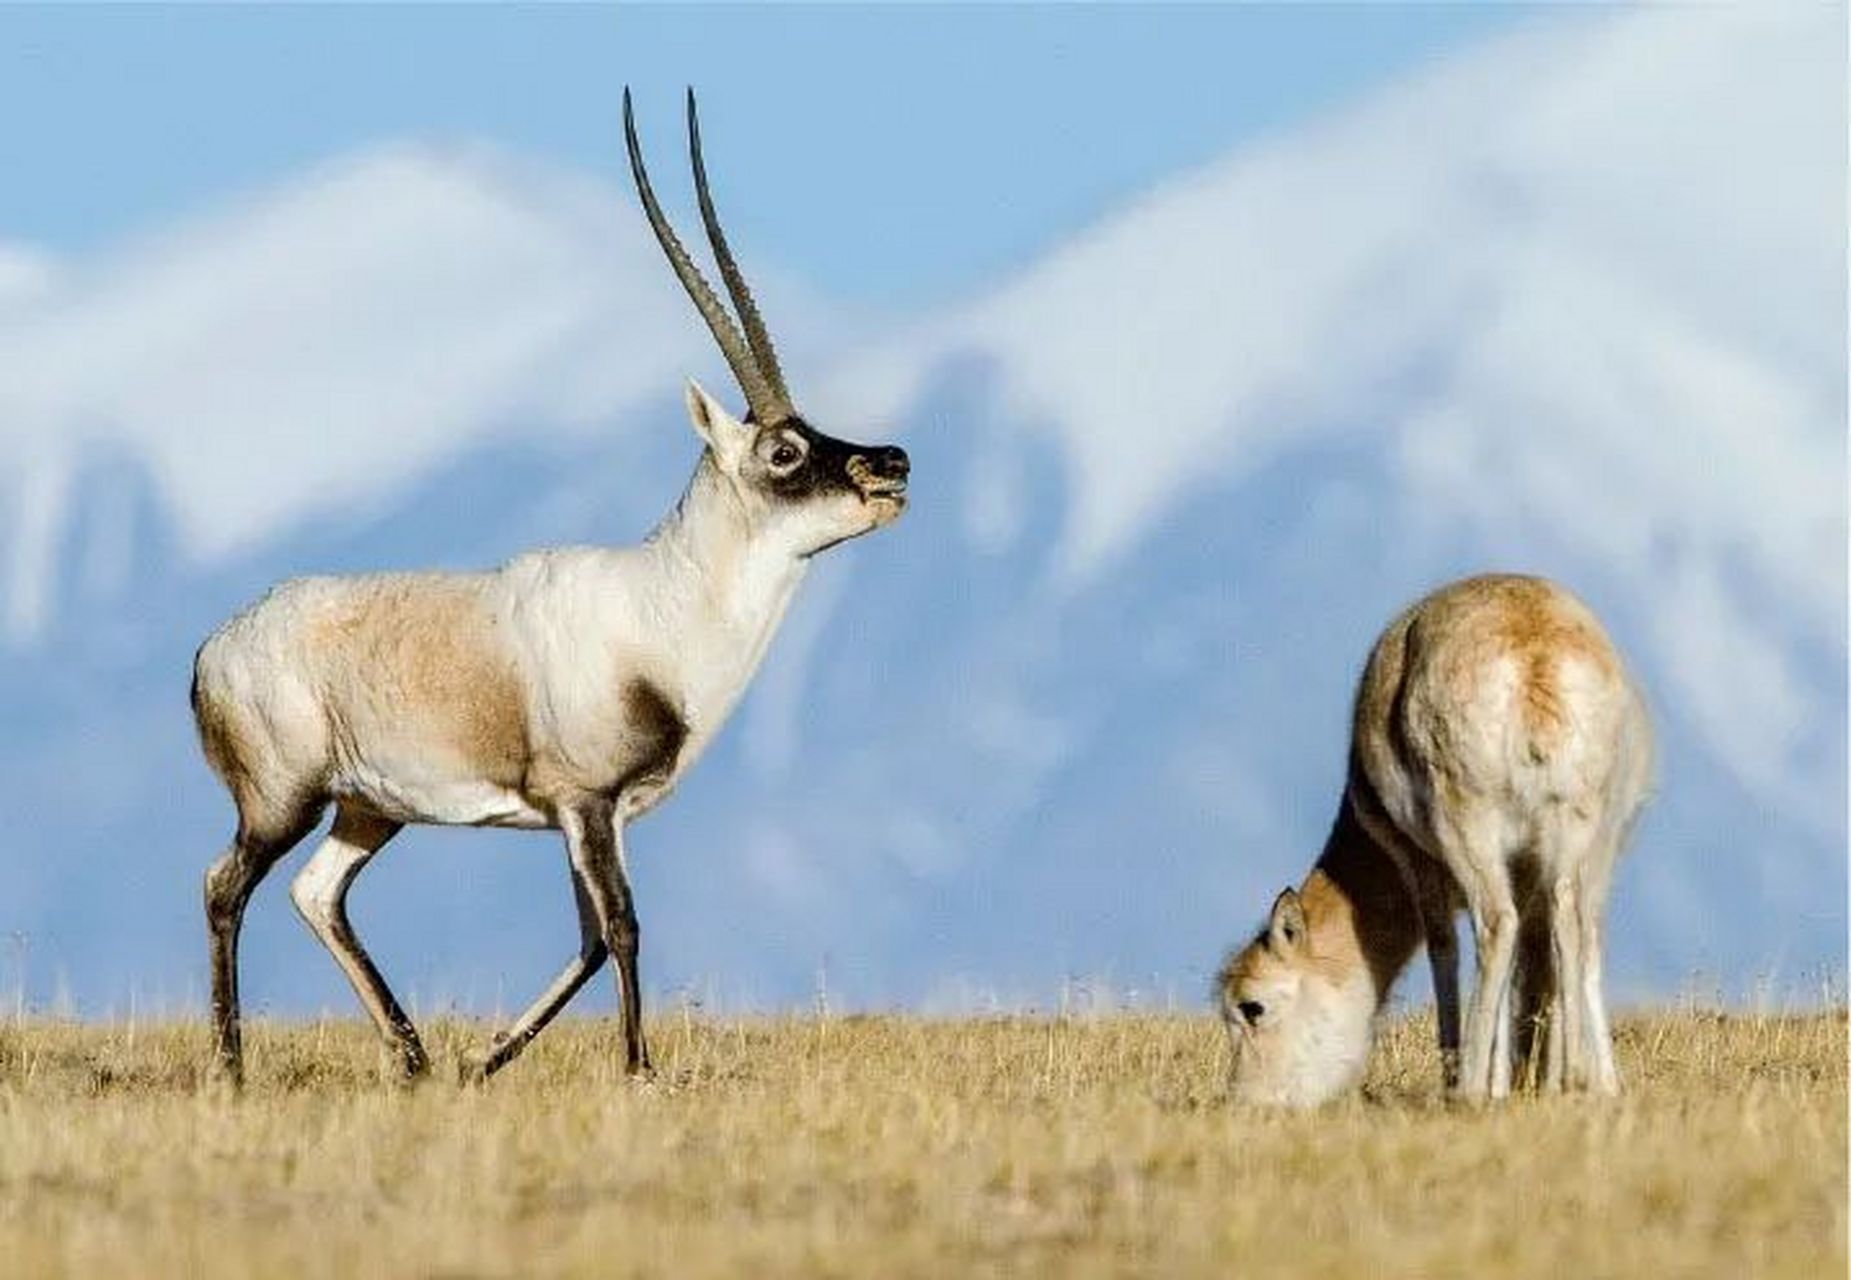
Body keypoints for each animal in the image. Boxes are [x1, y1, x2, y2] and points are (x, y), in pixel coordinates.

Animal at [189, 90, 910, 1087]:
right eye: (784, 451)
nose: (892, 463)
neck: (664, 605)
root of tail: (215, 647)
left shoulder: (600, 814)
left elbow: (591, 936)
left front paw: (487, 1060)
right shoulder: (584, 801)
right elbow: (623, 926)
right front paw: (638, 1069)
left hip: (367, 808)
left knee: (315, 892)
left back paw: (415, 1058)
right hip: (280, 798)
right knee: (226, 886)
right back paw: (231, 1065)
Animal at [1221, 573, 1658, 1102]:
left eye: (1251, 1006)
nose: (1243, 1100)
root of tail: (1535, 647)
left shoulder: (1420, 865)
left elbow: (1444, 947)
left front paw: (1471, 1082)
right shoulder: (1529, 873)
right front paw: (1511, 1084)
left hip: (1470, 830)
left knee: (1497, 925)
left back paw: (1468, 1087)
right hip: (1583, 839)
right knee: (1576, 926)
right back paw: (1582, 1081)